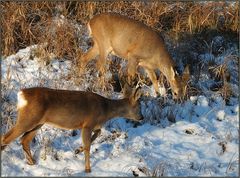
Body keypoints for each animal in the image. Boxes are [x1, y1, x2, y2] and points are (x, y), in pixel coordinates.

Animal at [0, 85, 142, 172]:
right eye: (138, 106)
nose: (142, 117)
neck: (105, 110)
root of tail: (21, 94)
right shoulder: (88, 123)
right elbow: (88, 146)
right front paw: (88, 169)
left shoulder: (92, 125)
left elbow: (97, 133)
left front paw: (77, 150)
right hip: (28, 119)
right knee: (6, 138)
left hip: (38, 122)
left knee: (24, 140)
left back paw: (32, 163)